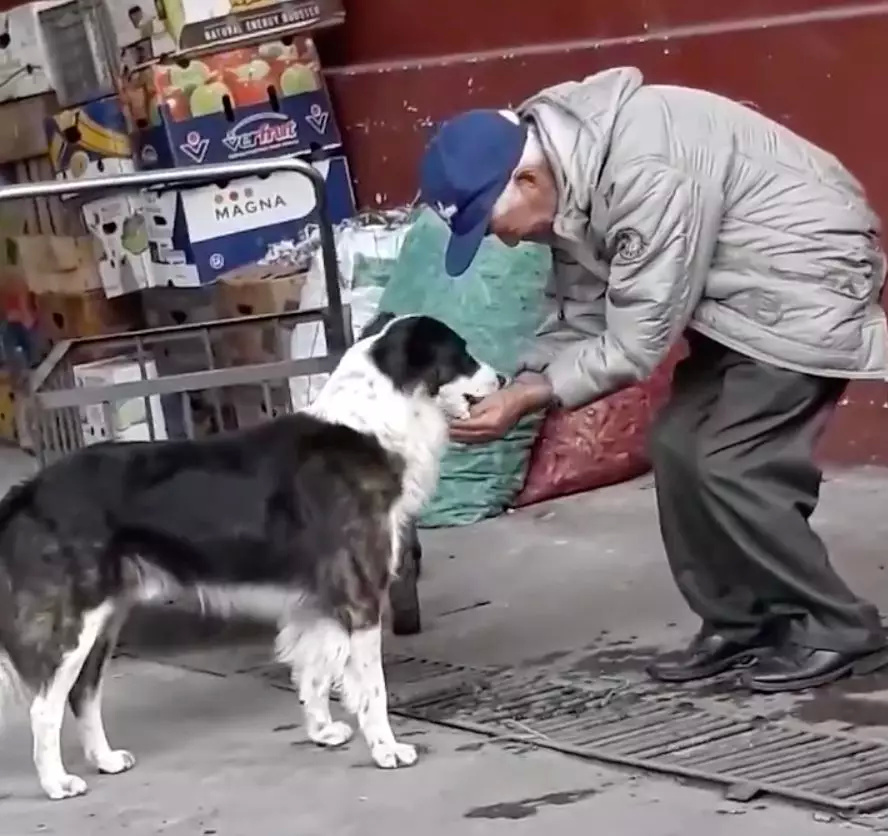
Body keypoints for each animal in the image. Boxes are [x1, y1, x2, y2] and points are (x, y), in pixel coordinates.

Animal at [0, 312, 502, 796]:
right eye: (461, 354)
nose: (500, 378)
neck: (374, 425)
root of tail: (28, 490)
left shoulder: (316, 602)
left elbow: (314, 673)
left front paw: (321, 732)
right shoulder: (360, 597)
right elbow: (371, 689)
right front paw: (386, 750)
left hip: (105, 618)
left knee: (82, 693)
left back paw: (104, 760)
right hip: (73, 624)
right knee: (44, 708)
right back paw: (56, 783)